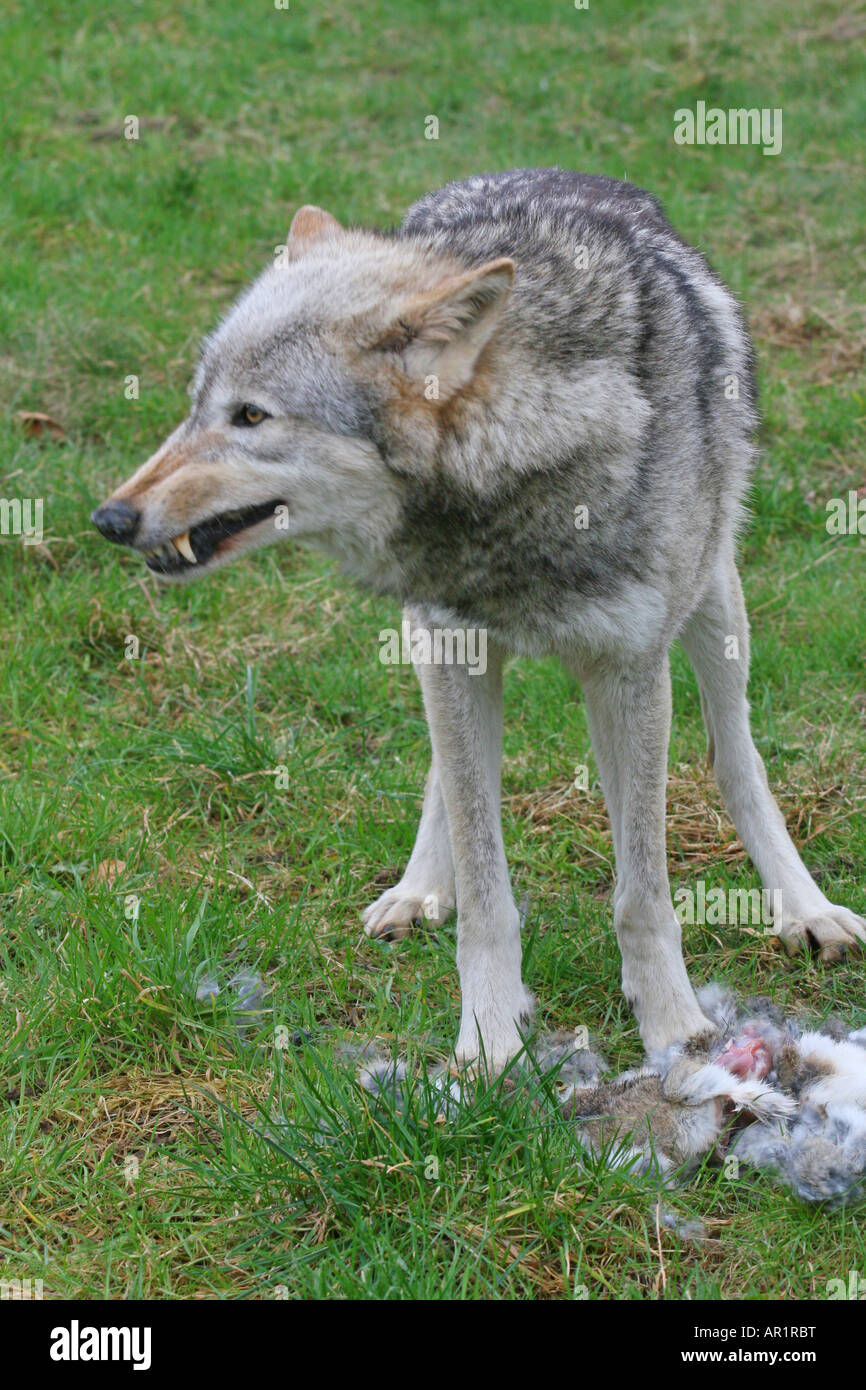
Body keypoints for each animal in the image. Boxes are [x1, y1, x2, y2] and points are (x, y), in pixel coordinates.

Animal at [92, 168, 865, 1071]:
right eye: (195, 408)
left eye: (251, 416)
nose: (111, 518)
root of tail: (561, 172)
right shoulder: (452, 647)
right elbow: (487, 886)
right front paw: (492, 1041)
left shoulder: (630, 675)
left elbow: (643, 892)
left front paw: (674, 1030)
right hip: (432, 642)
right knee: (449, 779)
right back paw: (421, 887)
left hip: (715, 603)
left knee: (736, 755)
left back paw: (804, 908)